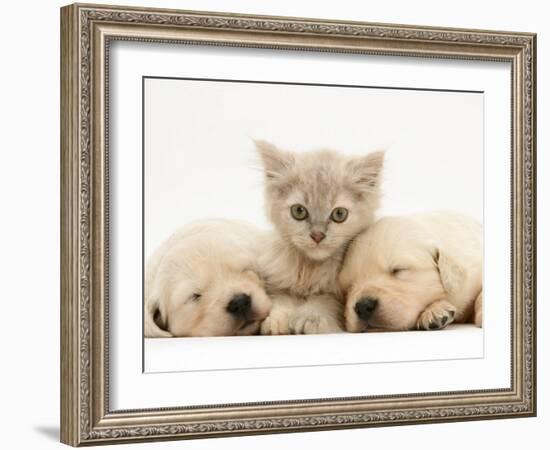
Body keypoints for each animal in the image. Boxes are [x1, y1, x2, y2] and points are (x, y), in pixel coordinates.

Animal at [256, 141, 386, 334]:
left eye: (339, 214)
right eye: (299, 211)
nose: (317, 235)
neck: (311, 268)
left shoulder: (338, 296)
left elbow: (323, 301)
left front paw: (309, 318)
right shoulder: (277, 284)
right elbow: (282, 300)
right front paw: (277, 320)